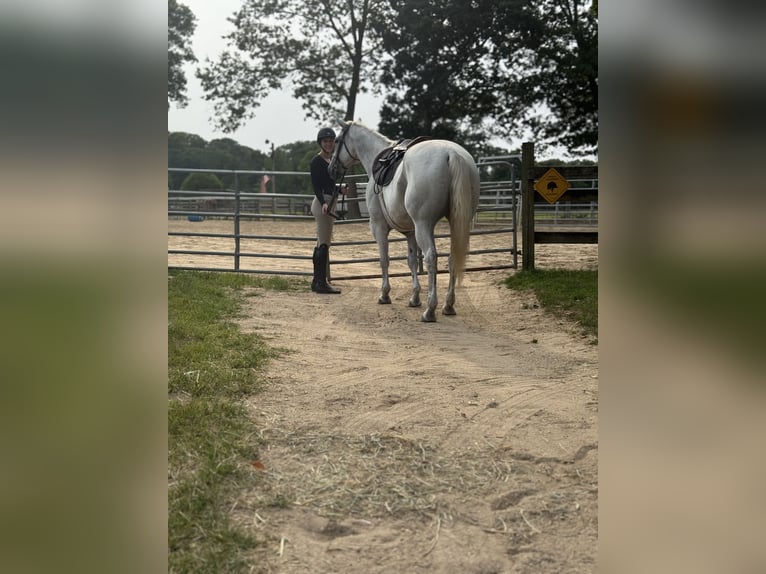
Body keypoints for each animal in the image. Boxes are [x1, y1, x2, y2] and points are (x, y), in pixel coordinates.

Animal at [328, 120, 480, 322]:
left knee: (431, 257)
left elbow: (384, 259)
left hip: (424, 224)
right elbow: (412, 261)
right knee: (452, 257)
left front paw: (384, 295)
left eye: (337, 140)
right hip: (456, 222)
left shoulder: (379, 227)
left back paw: (430, 310)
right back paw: (448, 305)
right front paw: (415, 297)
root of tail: (451, 154)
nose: (331, 169)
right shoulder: (410, 232)